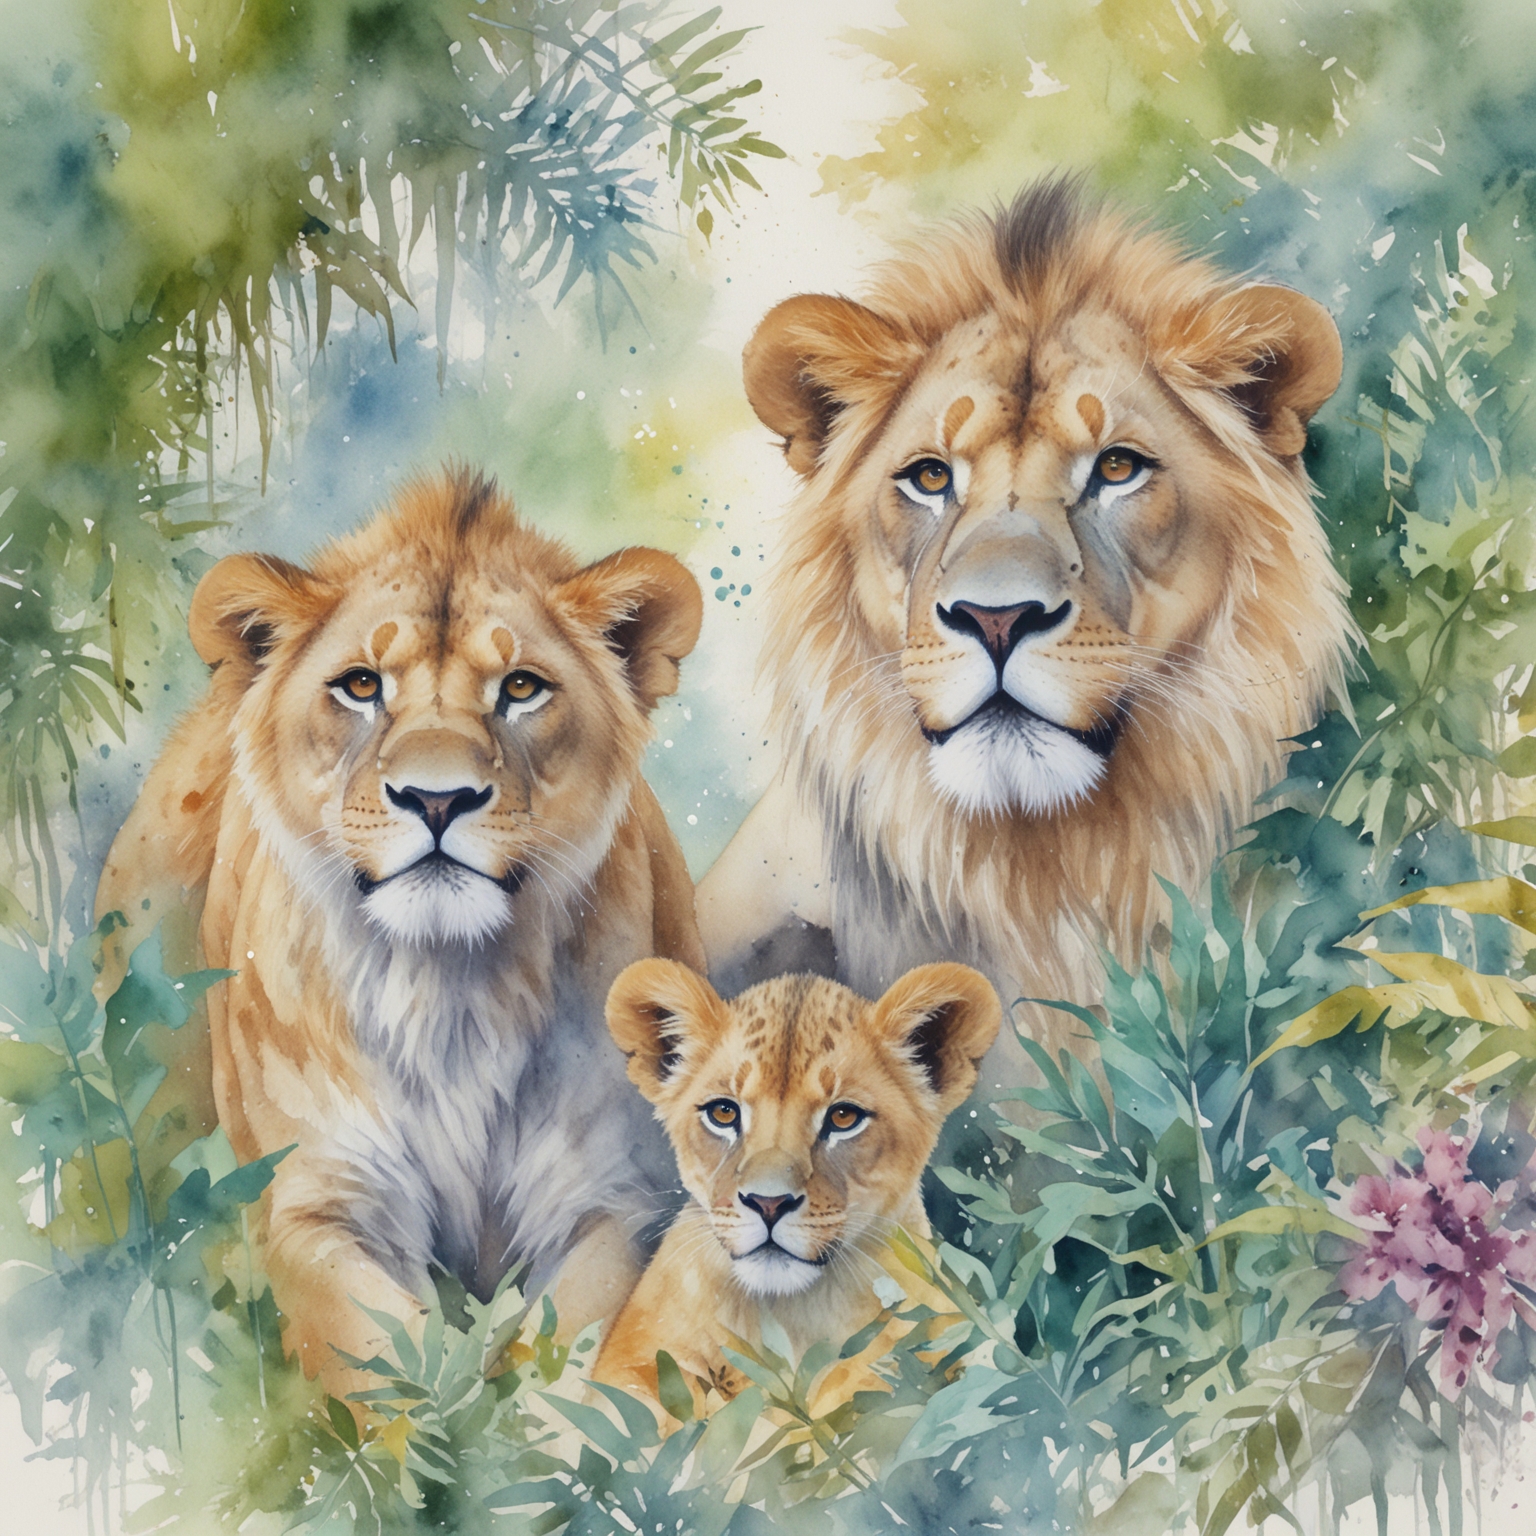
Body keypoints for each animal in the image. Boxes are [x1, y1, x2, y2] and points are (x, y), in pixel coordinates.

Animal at [95, 470, 705, 1393]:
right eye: (359, 686)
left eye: (521, 688)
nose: (437, 798)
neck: (450, 984)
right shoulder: (317, 1205)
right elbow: (392, 1375)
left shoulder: (612, 1201)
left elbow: (563, 1369)